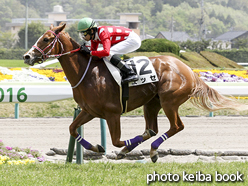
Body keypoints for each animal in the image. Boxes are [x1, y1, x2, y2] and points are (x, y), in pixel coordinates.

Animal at [22, 24, 246, 162]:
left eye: (46, 39)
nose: (27, 56)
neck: (87, 73)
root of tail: (189, 70)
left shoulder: (112, 113)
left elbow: (116, 140)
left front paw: (124, 147)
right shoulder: (89, 111)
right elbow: (72, 129)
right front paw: (97, 147)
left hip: (170, 102)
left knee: (176, 126)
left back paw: (153, 149)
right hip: (152, 103)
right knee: (153, 128)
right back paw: (147, 147)